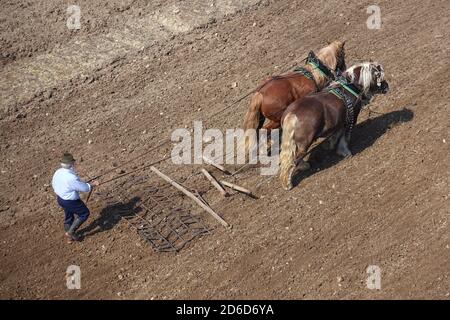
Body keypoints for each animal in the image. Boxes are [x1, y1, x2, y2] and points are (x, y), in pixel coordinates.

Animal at [280, 61, 388, 189]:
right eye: (379, 75)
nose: (387, 87)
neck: (349, 88)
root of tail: (292, 114)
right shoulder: (351, 119)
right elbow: (344, 138)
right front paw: (344, 152)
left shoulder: (340, 122)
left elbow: (336, 135)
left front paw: (330, 145)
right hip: (304, 143)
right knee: (294, 160)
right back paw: (288, 183)